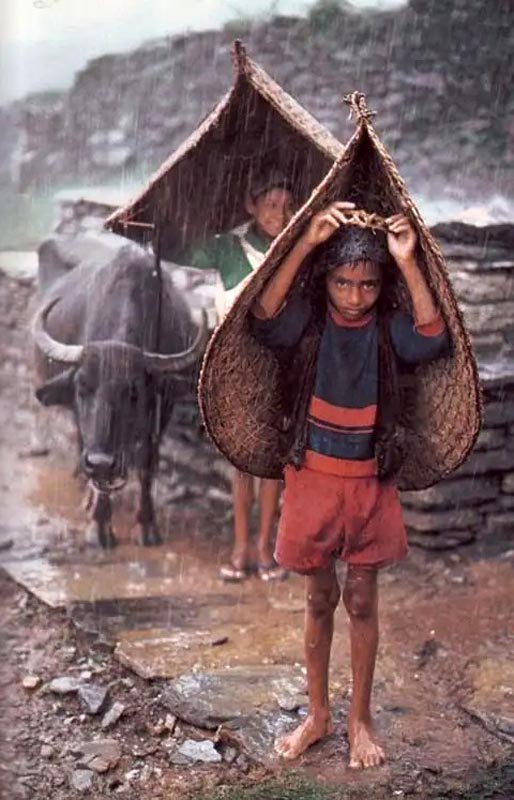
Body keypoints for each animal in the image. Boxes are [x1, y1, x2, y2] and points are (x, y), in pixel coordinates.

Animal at [33, 236, 206, 552]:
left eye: (133, 393)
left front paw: (146, 526)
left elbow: (147, 464)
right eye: (82, 387)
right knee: (80, 440)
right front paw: (99, 526)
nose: (100, 462)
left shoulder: (161, 412)